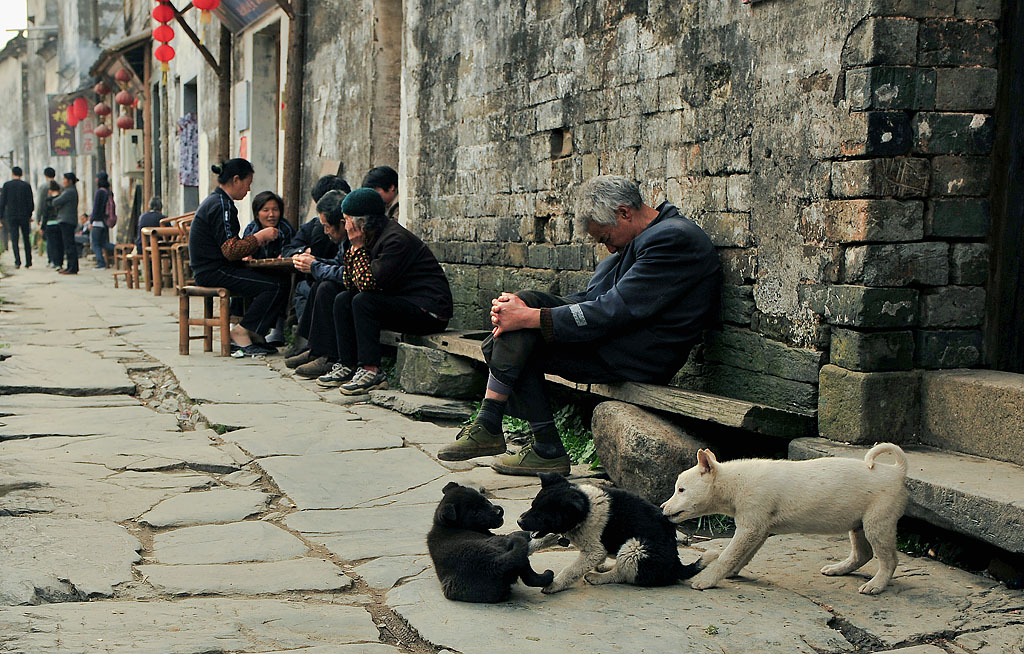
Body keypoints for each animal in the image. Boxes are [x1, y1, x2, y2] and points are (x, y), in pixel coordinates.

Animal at [423, 481, 552, 605]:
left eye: (483, 499)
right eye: (475, 512)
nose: (499, 512)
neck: (445, 525)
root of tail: (494, 563)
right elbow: (516, 533)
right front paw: (527, 533)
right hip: (510, 550)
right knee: (530, 576)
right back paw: (547, 575)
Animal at [516, 472, 700, 597]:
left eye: (542, 515)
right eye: (532, 506)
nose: (518, 521)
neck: (586, 508)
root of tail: (676, 564)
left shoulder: (594, 551)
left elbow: (571, 570)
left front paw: (555, 584)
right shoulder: (563, 532)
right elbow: (540, 540)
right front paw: (524, 548)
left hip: (635, 547)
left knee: (623, 575)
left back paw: (597, 577)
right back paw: (605, 567)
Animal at [659, 446, 909, 593]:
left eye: (681, 490)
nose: (662, 509)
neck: (735, 482)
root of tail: (897, 471)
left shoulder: (750, 527)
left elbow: (727, 555)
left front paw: (707, 580)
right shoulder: (760, 528)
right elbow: (743, 555)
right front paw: (731, 572)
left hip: (877, 522)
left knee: (889, 560)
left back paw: (876, 585)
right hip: (858, 525)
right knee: (862, 554)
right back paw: (838, 569)